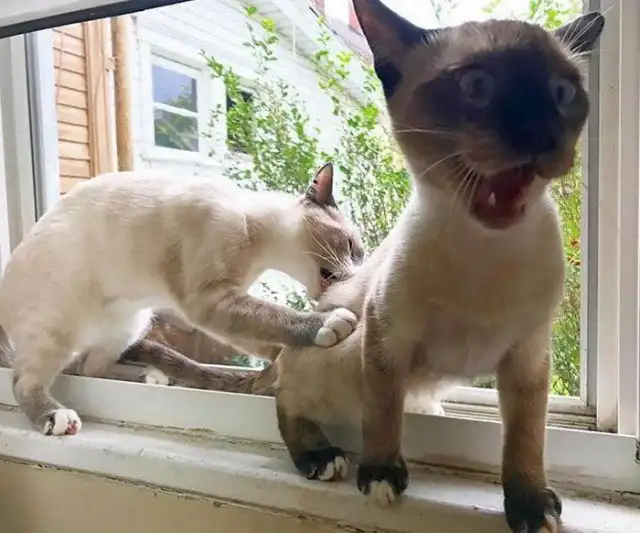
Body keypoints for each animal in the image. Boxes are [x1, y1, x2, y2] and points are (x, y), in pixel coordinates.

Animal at [0, 162, 364, 437]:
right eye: (352, 247)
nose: (357, 274)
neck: (257, 246)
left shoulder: (227, 301)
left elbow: (264, 335)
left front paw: (280, 365)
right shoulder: (210, 299)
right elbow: (276, 317)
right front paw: (331, 323)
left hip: (129, 326)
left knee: (89, 367)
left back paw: (151, 377)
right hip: (55, 327)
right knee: (25, 381)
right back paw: (57, 416)